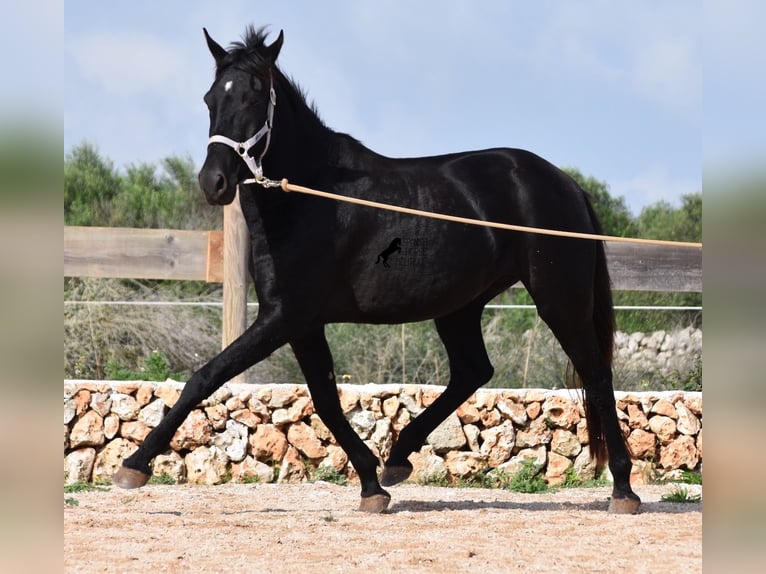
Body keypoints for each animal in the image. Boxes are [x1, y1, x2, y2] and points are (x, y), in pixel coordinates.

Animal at [114, 24, 640, 516]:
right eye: (210, 98)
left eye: (254, 96)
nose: (214, 183)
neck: (311, 198)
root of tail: (566, 184)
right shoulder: (301, 322)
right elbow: (325, 400)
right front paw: (371, 483)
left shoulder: (283, 317)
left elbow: (205, 378)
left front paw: (133, 467)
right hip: (460, 307)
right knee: (473, 370)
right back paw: (399, 457)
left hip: (558, 298)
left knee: (596, 374)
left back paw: (623, 488)